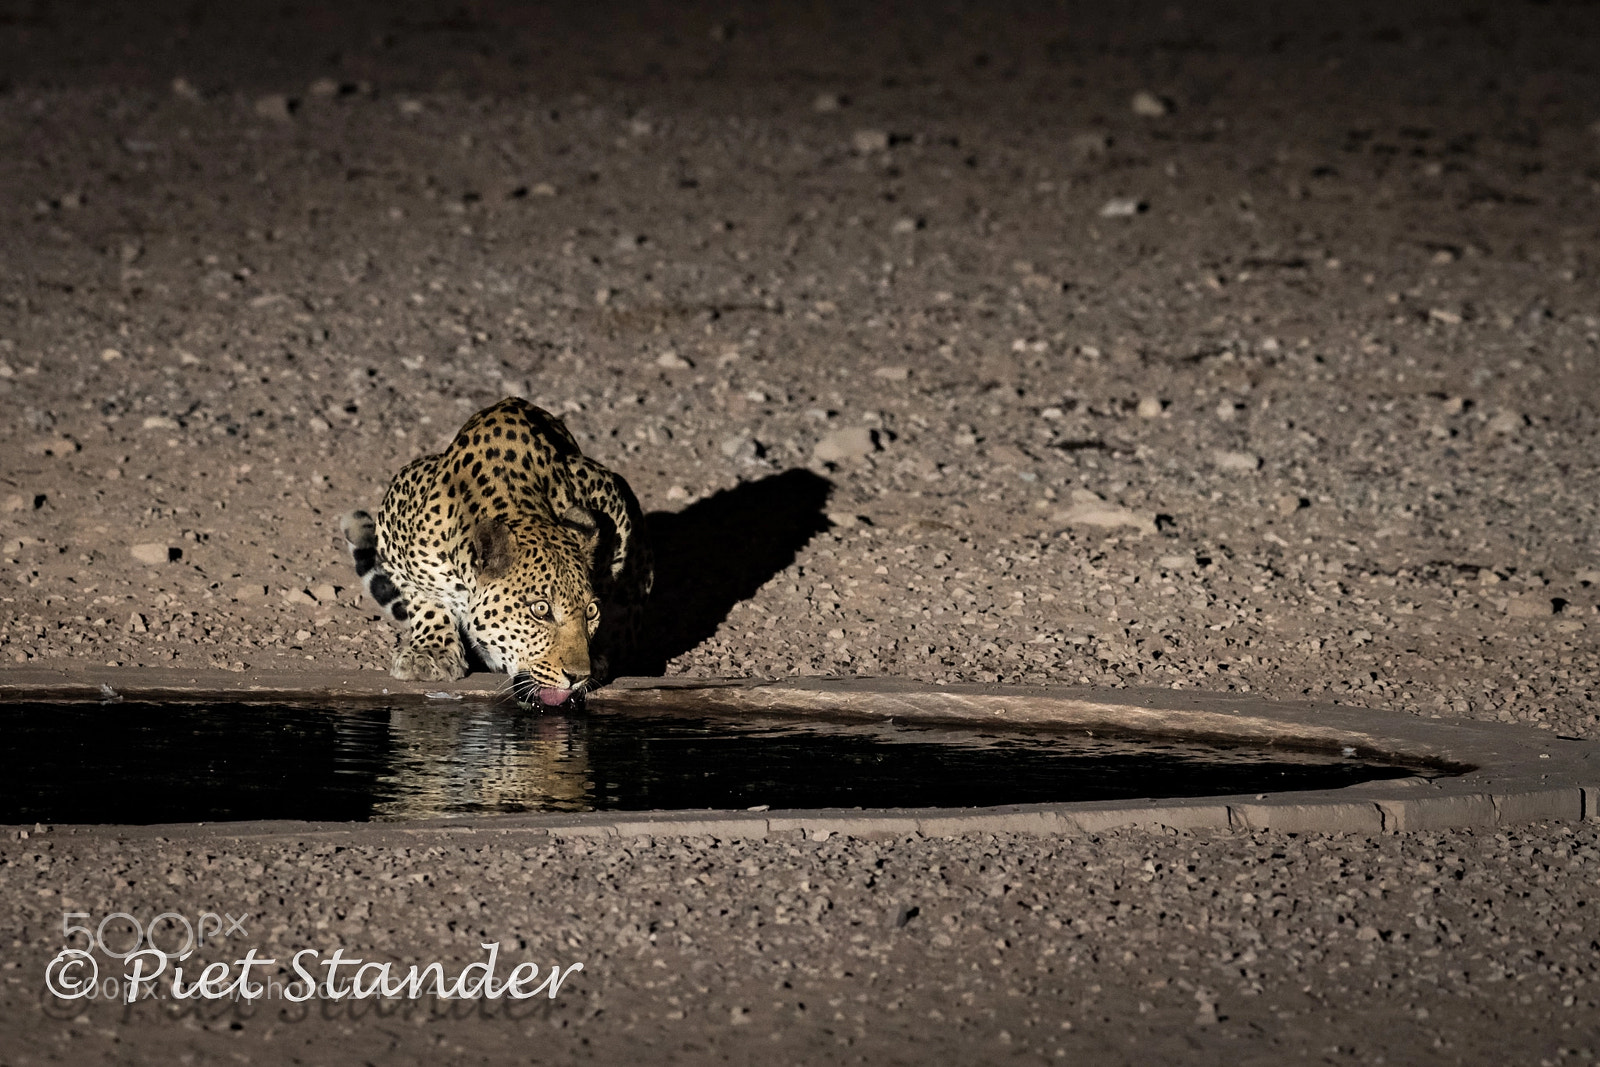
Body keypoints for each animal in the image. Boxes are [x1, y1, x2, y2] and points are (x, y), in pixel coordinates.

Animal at [341, 397, 652, 709]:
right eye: (540, 609)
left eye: (591, 611)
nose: (577, 676)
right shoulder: (395, 520)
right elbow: (424, 597)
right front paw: (429, 654)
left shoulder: (612, 497)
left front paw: (598, 657)